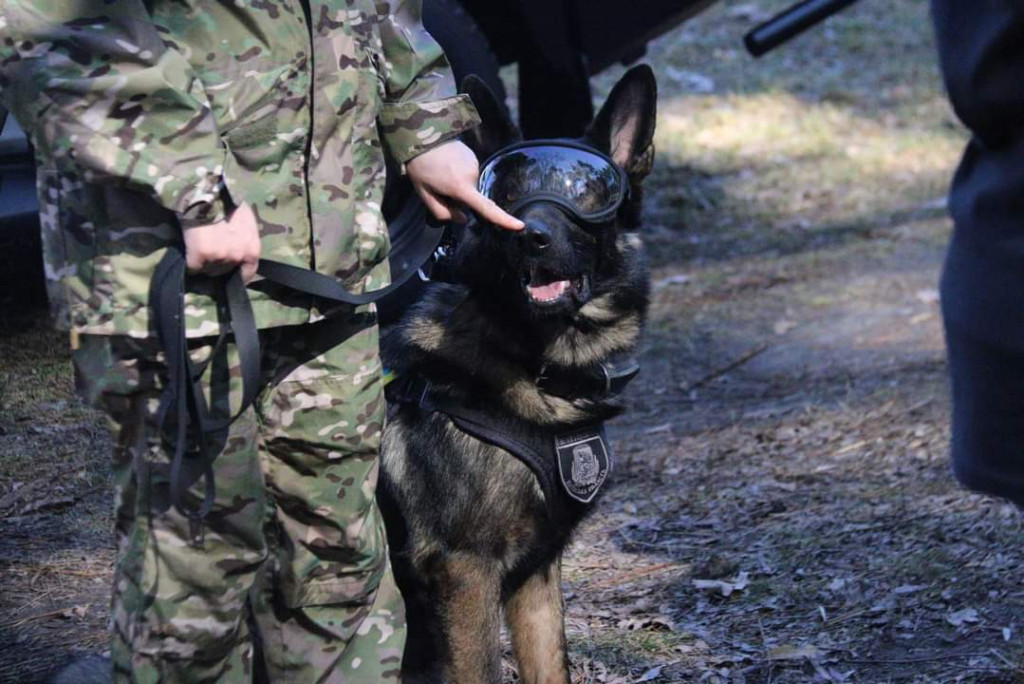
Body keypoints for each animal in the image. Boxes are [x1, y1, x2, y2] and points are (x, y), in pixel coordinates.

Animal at [376, 65, 655, 684]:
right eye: (504, 193)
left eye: (585, 191)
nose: (532, 235)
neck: (538, 365)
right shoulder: (465, 573)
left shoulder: (537, 574)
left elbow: (552, 666)